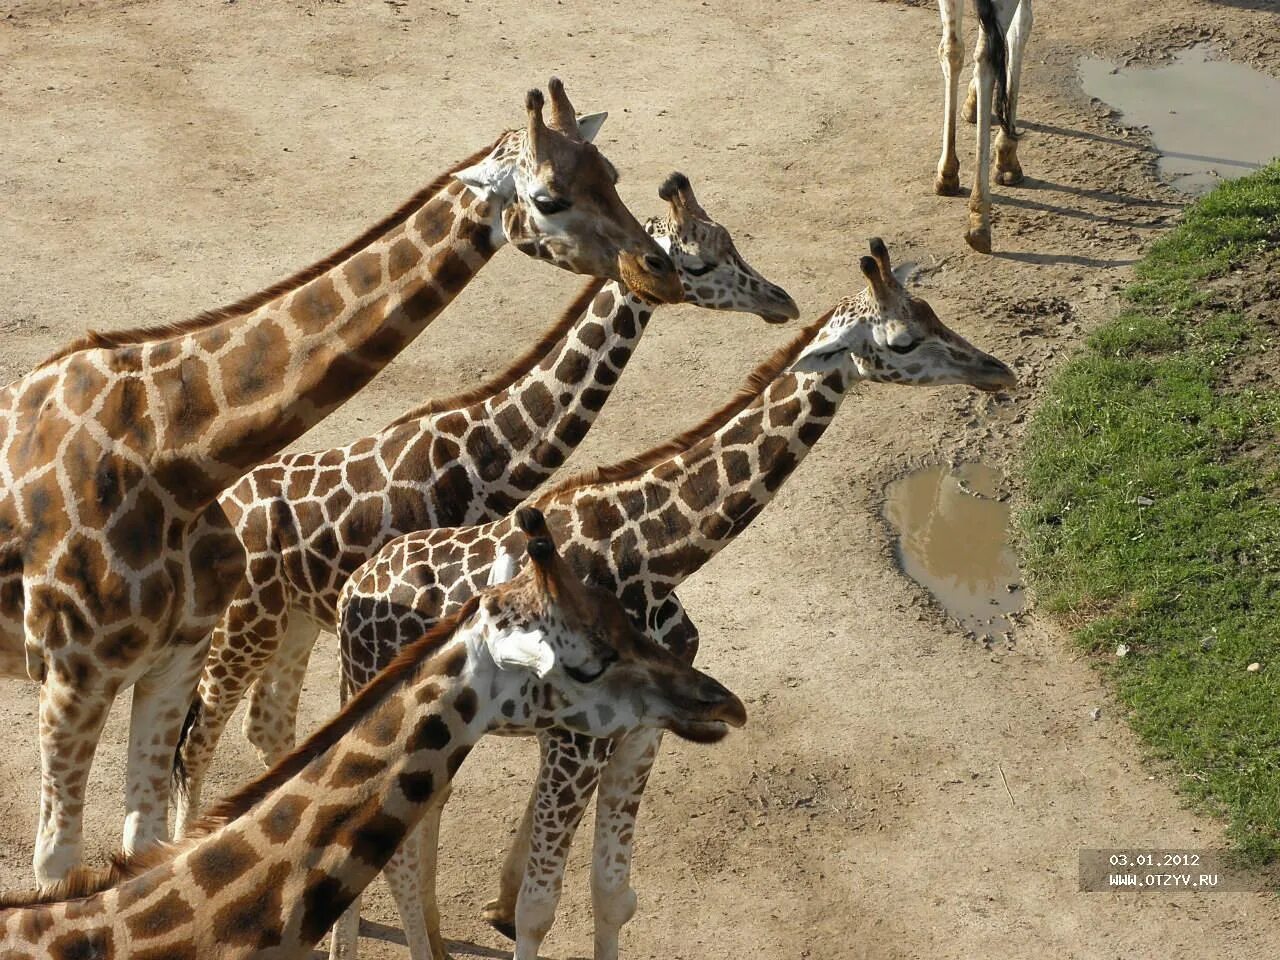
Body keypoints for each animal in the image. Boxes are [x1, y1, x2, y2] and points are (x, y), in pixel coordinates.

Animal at [0, 80, 686, 885]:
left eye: (611, 172)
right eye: (549, 197)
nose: (659, 268)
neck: (181, 456)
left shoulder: (173, 659)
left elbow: (140, 847)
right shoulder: (73, 678)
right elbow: (57, 868)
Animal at [166, 172, 793, 839]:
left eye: (729, 240)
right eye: (698, 261)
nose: (782, 301)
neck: (486, 451)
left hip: (295, 619)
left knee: (268, 724)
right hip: (245, 625)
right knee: (196, 740)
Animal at [335, 240, 1013, 960]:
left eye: (934, 312)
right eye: (903, 340)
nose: (997, 371)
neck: (657, 557)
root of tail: (353, 590)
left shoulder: (641, 732)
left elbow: (612, 895)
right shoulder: (574, 744)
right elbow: (536, 910)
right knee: (388, 857)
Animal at [936, 0, 1034, 253]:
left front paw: (972, 102)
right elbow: (1021, 28)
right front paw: (1007, 156)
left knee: (952, 46)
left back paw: (947, 174)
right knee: (986, 58)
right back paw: (979, 221)